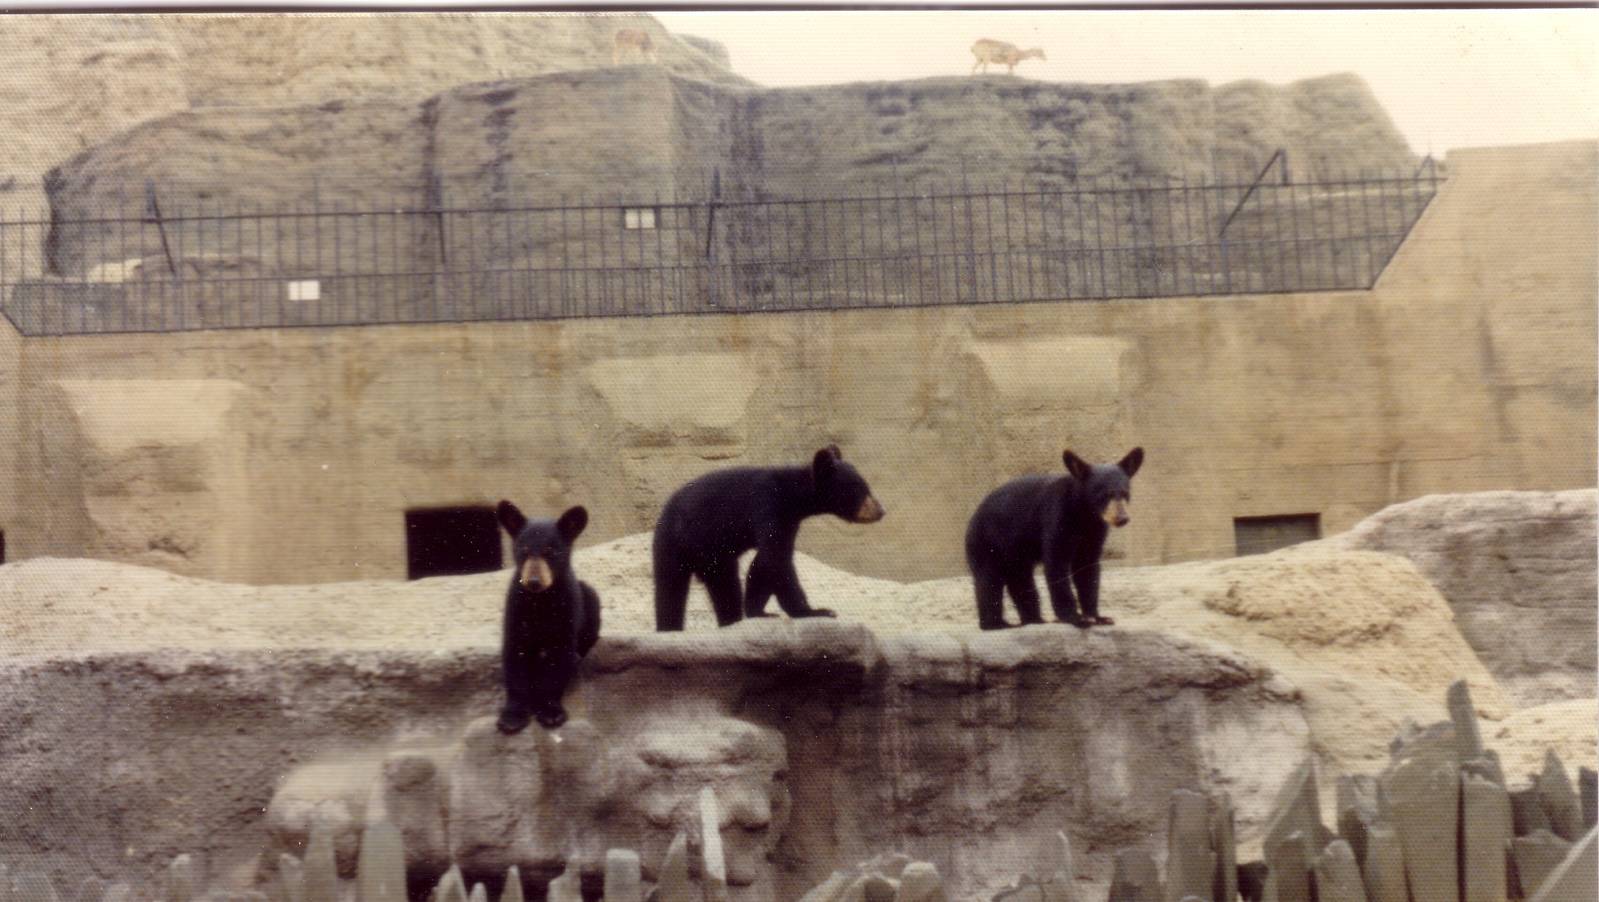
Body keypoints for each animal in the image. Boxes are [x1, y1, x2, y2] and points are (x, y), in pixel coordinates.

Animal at [495, 501, 601, 733]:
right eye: (523, 550)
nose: (534, 581)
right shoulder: (516, 608)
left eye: (551, 552)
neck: (540, 600)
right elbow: (515, 658)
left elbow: (558, 661)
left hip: (588, 599)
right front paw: (512, 717)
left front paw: (551, 713)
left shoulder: (566, 610)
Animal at [653, 445, 886, 631]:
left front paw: (758, 611)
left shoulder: (789, 521)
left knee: (697, 590)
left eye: (866, 487)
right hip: (685, 542)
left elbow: (765, 562)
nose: (881, 511)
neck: (792, 496)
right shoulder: (768, 504)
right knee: (690, 589)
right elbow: (777, 558)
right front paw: (815, 611)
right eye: (860, 489)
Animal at [964, 447, 1143, 630]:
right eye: (1104, 495)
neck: (1084, 514)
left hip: (1014, 552)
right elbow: (1057, 563)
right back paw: (996, 624)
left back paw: (1034, 619)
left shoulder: (1095, 532)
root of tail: (973, 517)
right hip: (987, 542)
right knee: (988, 581)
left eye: (1125, 493)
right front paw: (1076, 617)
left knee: (1021, 580)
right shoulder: (1057, 516)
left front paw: (1098, 617)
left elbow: (1088, 569)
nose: (1122, 518)